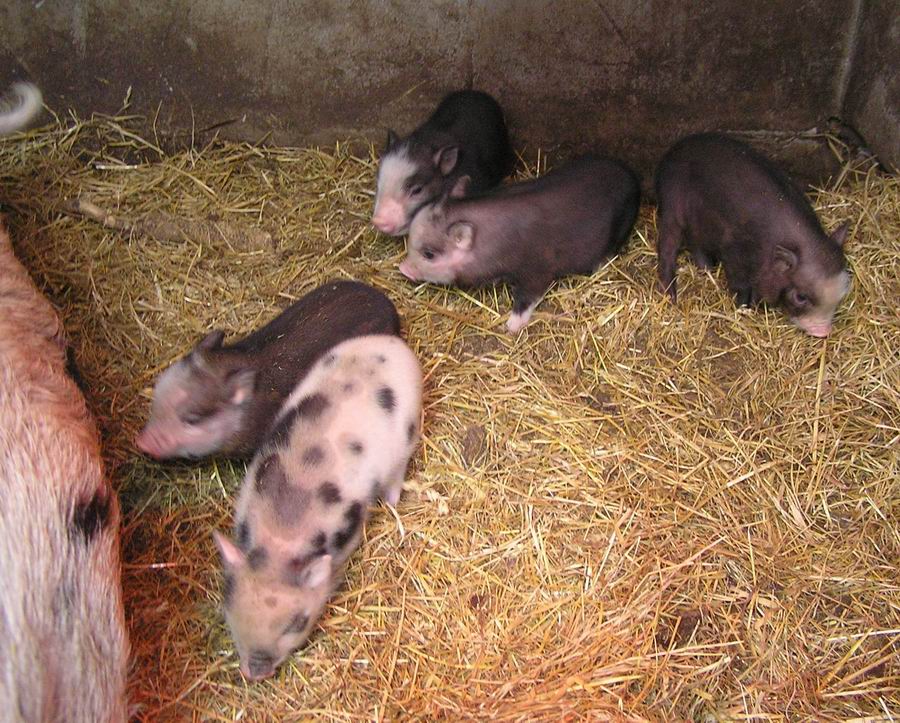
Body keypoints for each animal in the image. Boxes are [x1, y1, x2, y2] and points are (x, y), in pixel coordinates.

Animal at [213, 334, 423, 680]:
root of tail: (391, 344)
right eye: (230, 612)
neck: (280, 540)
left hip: (410, 430)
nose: (255, 672)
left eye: (296, 623)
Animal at [399, 154, 641, 333]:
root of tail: (632, 176)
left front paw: (510, 327)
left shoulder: (538, 268)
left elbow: (528, 296)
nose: (402, 268)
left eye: (429, 254)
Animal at [655, 133, 851, 337]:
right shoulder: (733, 250)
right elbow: (739, 284)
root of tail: (670, 154)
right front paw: (743, 308)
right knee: (667, 247)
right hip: (671, 205)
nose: (823, 332)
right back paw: (670, 296)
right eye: (800, 297)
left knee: (696, 243)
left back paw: (707, 269)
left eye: (843, 292)